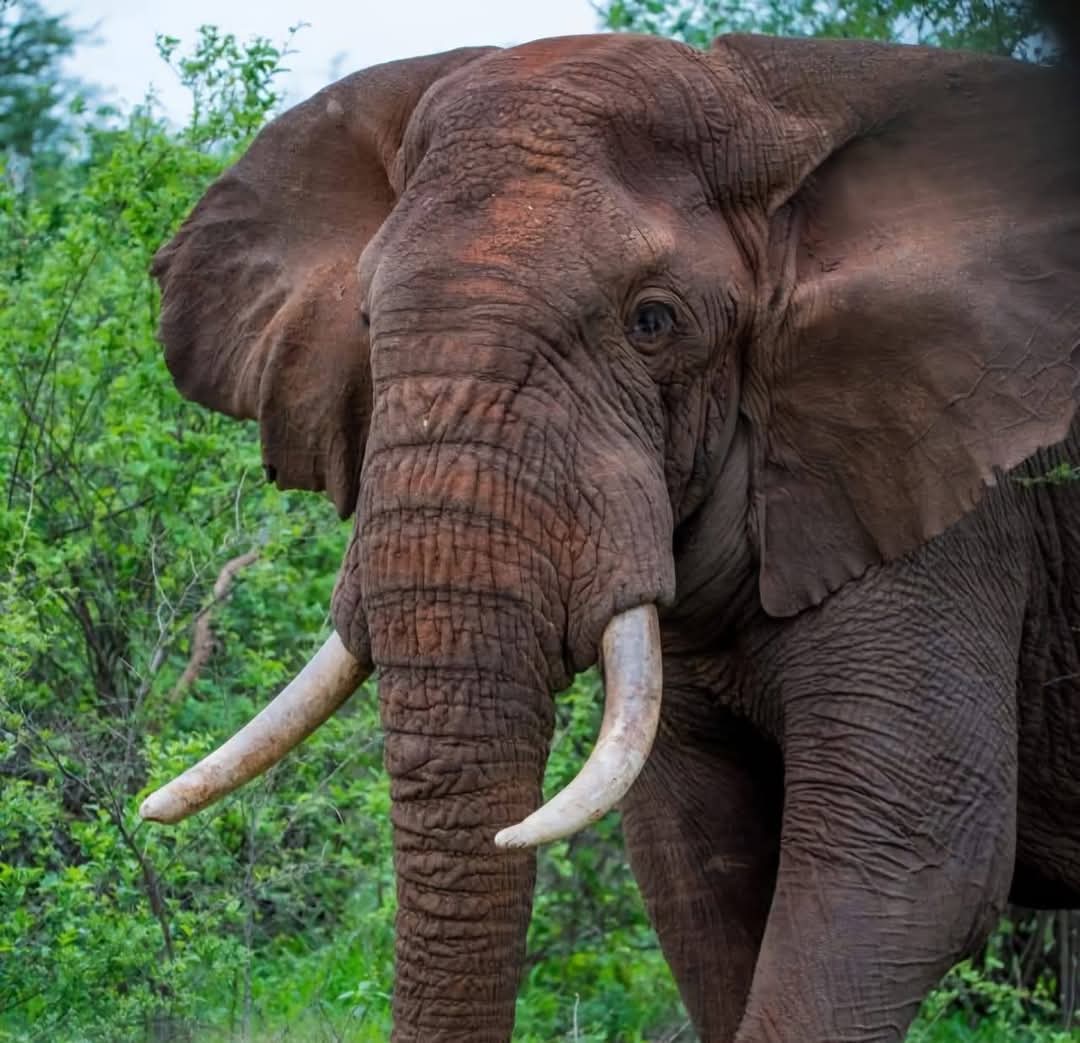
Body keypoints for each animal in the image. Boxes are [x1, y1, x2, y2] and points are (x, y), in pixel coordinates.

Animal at [140, 29, 1080, 1043]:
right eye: (363, 318)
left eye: (652, 321)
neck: (768, 104)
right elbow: (692, 857)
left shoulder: (947, 499)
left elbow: (908, 857)